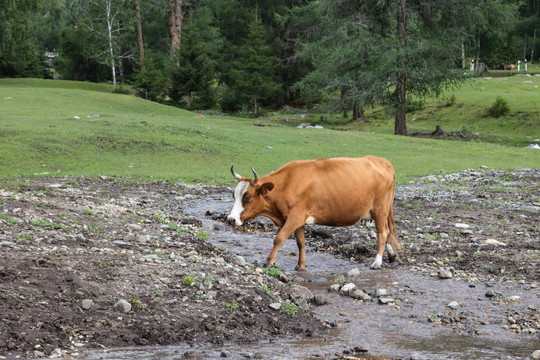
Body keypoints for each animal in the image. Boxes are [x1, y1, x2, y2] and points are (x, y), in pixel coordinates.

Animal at [225, 155, 400, 270]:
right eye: (234, 195)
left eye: (247, 197)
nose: (231, 219)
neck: (286, 184)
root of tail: (382, 161)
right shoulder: (298, 219)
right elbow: (301, 242)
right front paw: (301, 264)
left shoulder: (295, 217)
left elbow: (279, 238)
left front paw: (269, 262)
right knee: (387, 231)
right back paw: (391, 255)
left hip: (380, 208)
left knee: (383, 232)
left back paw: (377, 262)